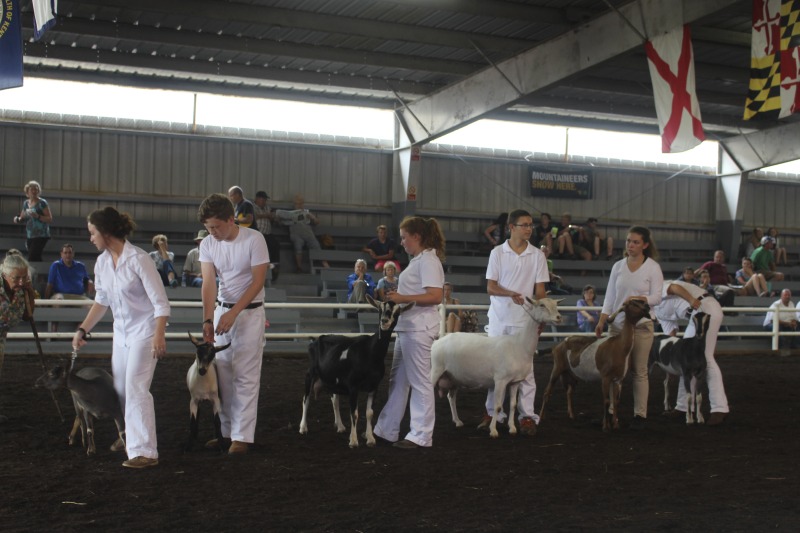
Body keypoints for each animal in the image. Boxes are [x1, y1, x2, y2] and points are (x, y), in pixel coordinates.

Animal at [298, 294, 412, 446]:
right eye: (380, 309)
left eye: (397, 312)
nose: (384, 321)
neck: (370, 351)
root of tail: (317, 339)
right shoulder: (353, 386)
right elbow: (354, 413)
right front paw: (353, 441)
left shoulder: (374, 387)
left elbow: (369, 413)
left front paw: (370, 439)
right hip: (310, 373)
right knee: (306, 398)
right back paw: (303, 428)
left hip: (333, 379)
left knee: (334, 400)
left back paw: (340, 426)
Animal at [432, 296, 564, 436]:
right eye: (542, 305)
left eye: (556, 304)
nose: (559, 317)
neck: (519, 345)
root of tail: (438, 341)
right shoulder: (500, 380)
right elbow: (498, 406)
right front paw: (493, 430)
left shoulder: (515, 381)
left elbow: (513, 405)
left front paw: (512, 428)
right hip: (435, 370)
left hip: (453, 377)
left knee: (451, 397)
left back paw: (457, 421)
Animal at [536, 300, 656, 432]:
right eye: (634, 303)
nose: (647, 307)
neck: (620, 346)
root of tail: (557, 346)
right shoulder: (605, 377)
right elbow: (607, 401)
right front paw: (605, 426)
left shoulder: (618, 379)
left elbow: (616, 401)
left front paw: (616, 425)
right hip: (557, 368)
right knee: (547, 392)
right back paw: (541, 417)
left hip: (572, 374)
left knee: (569, 392)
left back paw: (572, 415)